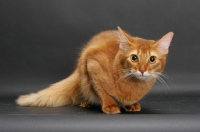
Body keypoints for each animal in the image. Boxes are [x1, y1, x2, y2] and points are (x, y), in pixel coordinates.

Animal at [16, 26, 173, 113]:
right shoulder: (92, 64)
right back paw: (87, 102)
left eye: (152, 59)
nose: (142, 70)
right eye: (134, 58)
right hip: (83, 69)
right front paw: (110, 105)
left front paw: (130, 104)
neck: (133, 84)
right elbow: (102, 91)